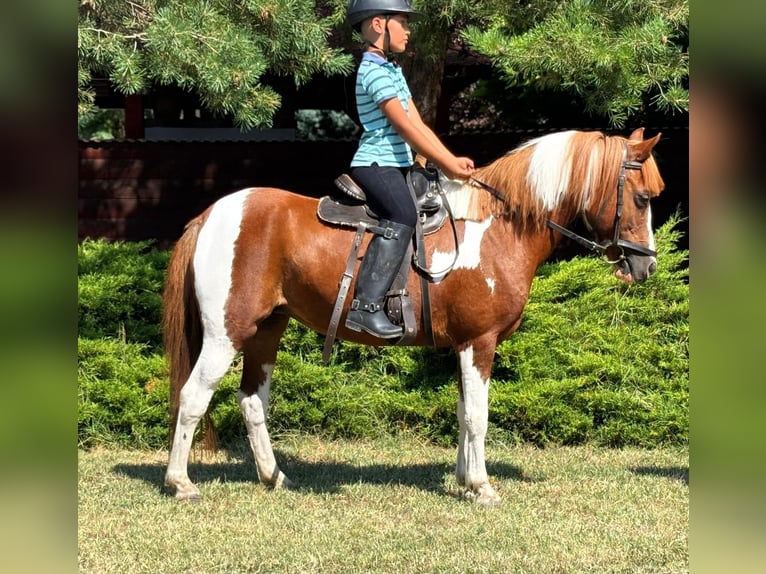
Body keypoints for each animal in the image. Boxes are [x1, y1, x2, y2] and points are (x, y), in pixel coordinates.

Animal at [162, 127, 665, 507]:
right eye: (642, 198)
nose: (646, 267)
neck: (497, 227)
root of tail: (210, 215)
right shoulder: (480, 342)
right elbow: (478, 416)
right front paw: (482, 487)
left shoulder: (464, 345)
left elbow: (463, 412)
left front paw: (464, 480)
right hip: (227, 332)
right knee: (193, 397)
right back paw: (180, 482)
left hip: (267, 329)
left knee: (252, 400)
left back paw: (274, 476)